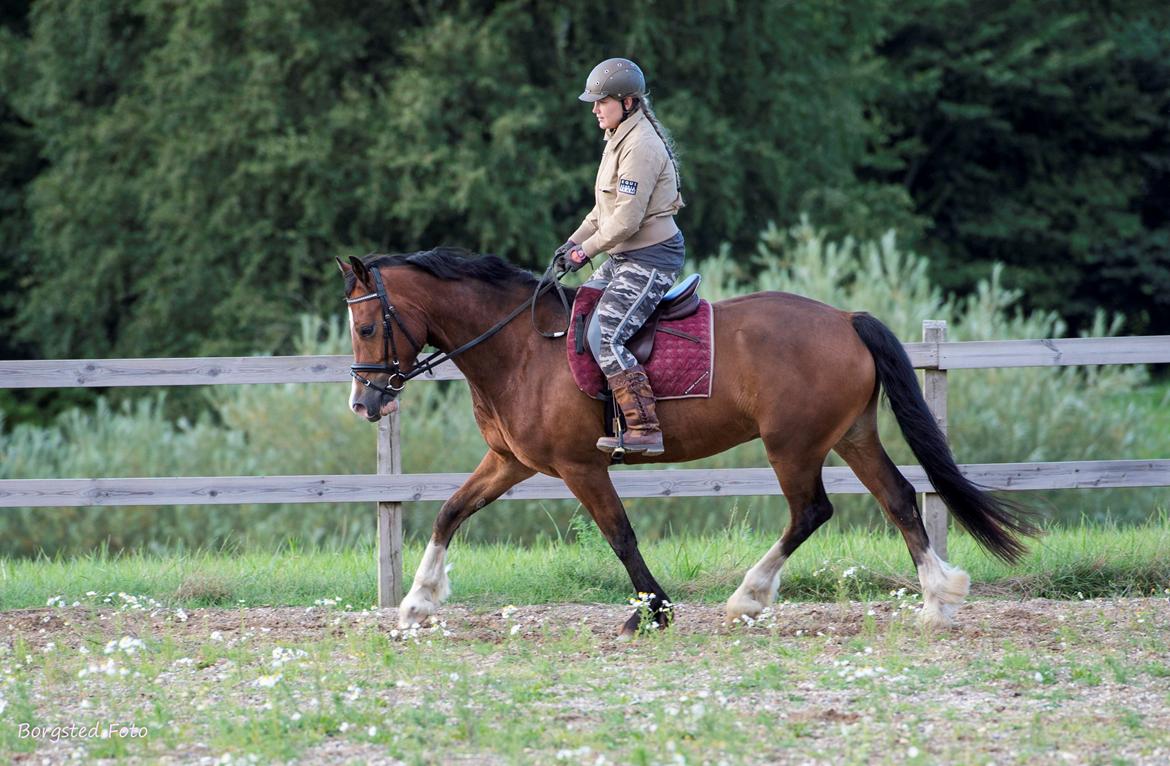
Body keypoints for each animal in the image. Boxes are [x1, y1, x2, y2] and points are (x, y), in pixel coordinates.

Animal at [336, 249, 1034, 636]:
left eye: (368, 327)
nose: (365, 404)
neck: (521, 349)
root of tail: (844, 319)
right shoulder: (510, 462)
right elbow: (450, 512)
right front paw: (416, 605)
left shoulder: (580, 465)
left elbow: (620, 535)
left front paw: (654, 611)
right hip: (852, 436)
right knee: (898, 500)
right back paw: (938, 603)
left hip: (793, 444)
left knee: (811, 511)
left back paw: (748, 598)